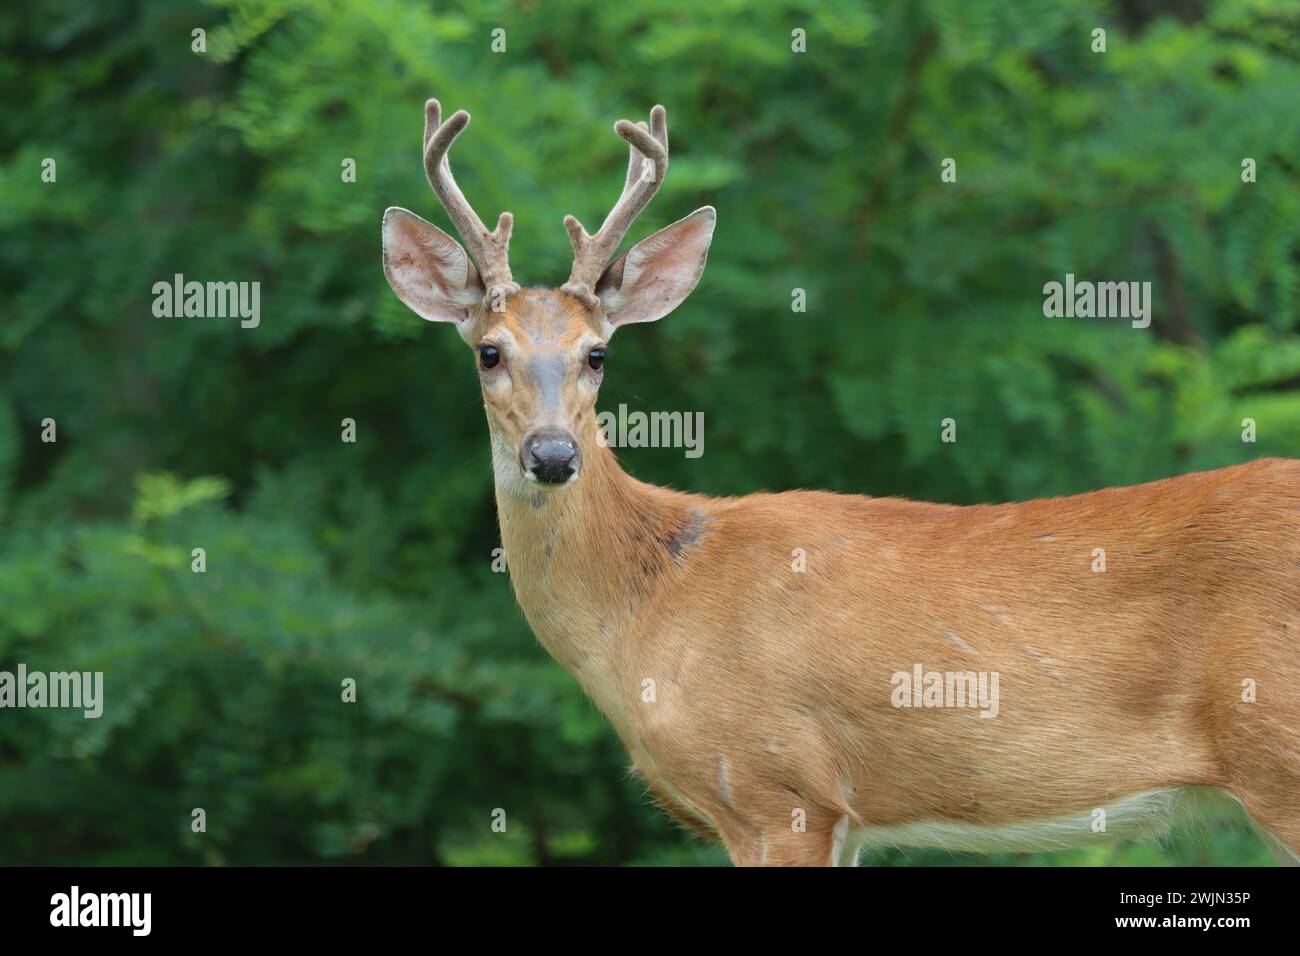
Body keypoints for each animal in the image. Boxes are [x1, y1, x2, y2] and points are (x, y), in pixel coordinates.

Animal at [379, 98, 1294, 868]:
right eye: (488, 351)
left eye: (596, 353)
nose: (552, 455)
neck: (653, 602)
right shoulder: (829, 814)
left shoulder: (777, 785)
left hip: (1277, 750)